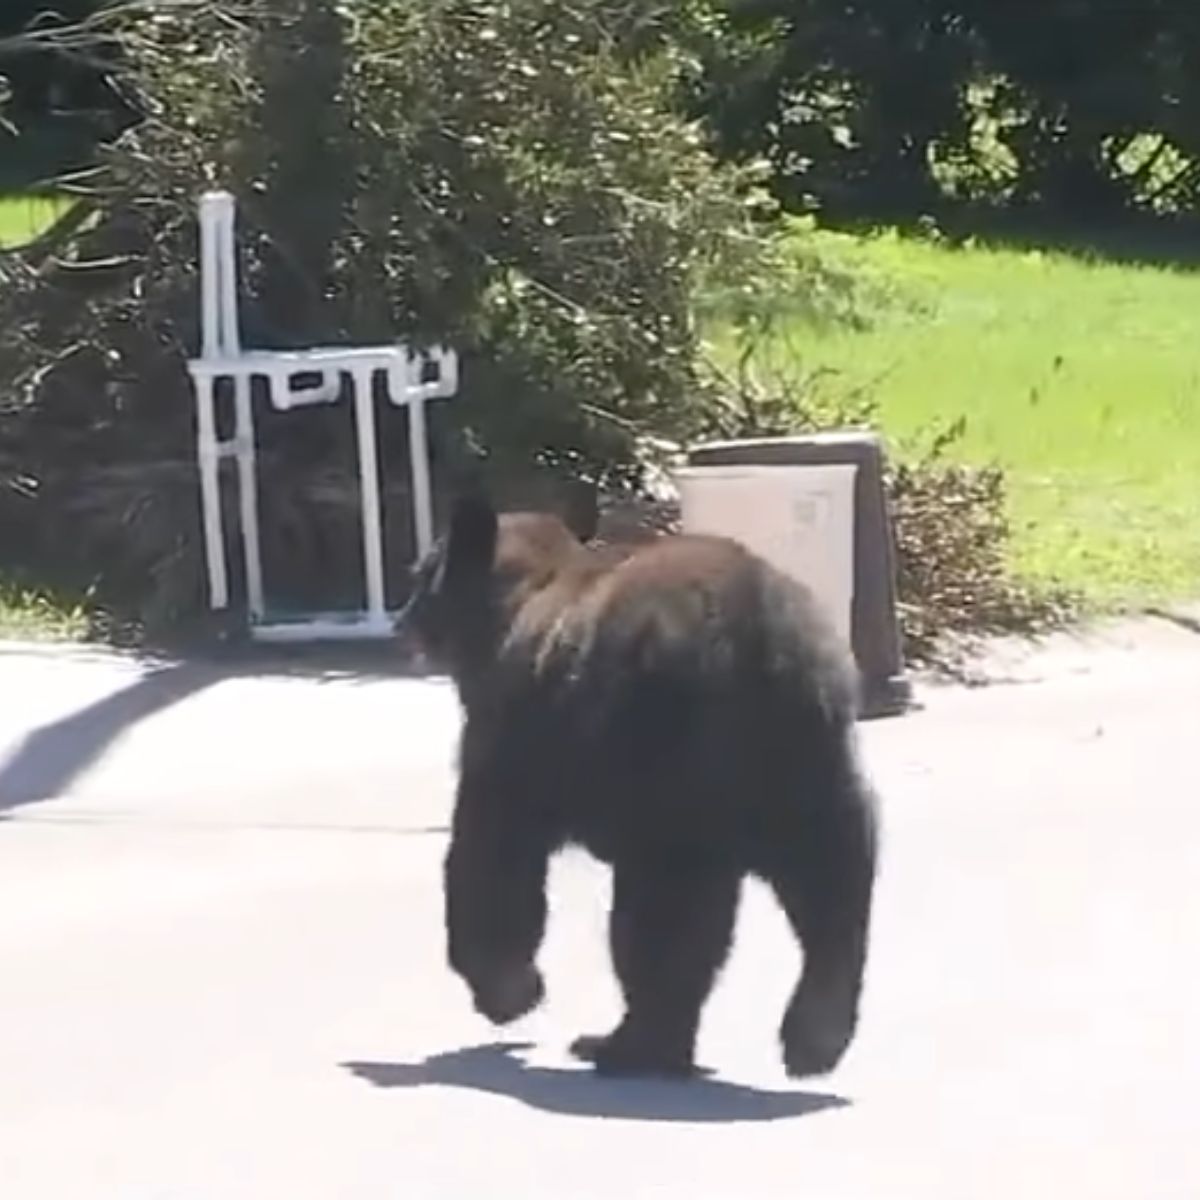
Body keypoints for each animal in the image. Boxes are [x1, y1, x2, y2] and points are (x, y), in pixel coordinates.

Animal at [401, 490, 880, 1080]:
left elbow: (492, 848)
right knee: (832, 878)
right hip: (812, 750)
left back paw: (628, 1044)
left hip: (666, 755)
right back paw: (814, 1038)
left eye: (419, 574)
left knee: (663, 913)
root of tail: (763, 633)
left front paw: (507, 992)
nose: (401, 622)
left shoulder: (516, 733)